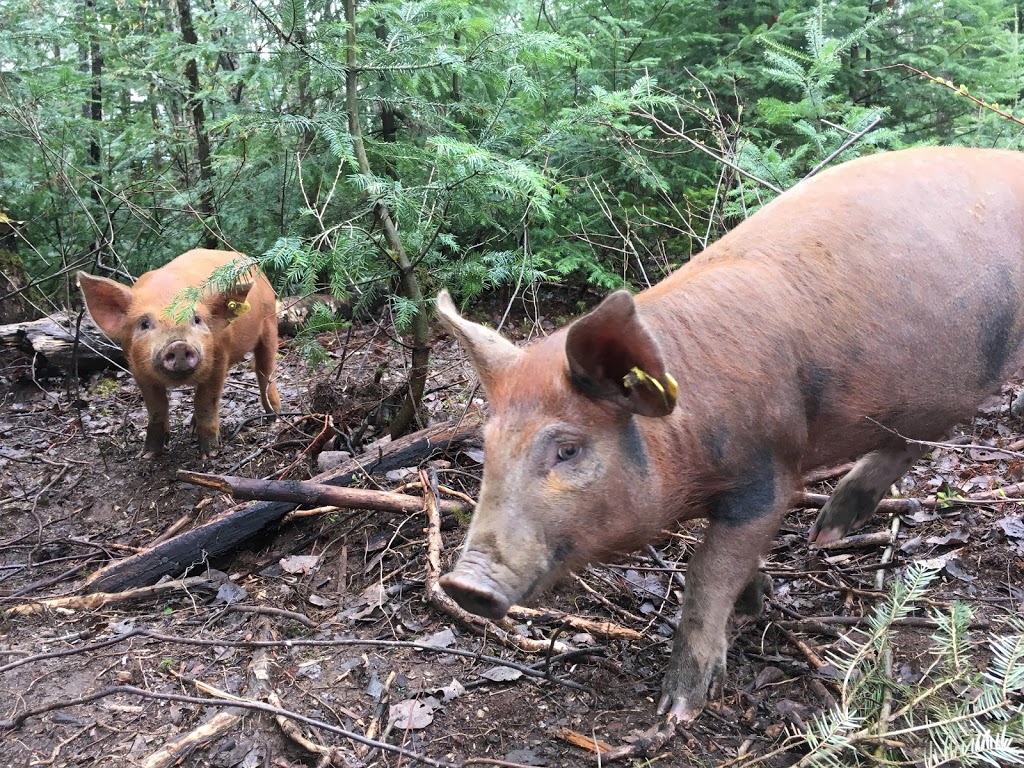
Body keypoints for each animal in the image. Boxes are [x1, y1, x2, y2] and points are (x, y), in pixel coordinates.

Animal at [77, 249, 282, 460]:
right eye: (144, 324)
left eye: (197, 319)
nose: (178, 345)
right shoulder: (137, 368)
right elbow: (156, 408)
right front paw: (148, 454)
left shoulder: (219, 358)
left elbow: (206, 402)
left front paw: (210, 454)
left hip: (270, 323)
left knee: (265, 370)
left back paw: (274, 417)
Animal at [436, 145, 1024, 729]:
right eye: (489, 445)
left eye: (568, 449)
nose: (462, 585)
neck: (689, 435)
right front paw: (753, 602)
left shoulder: (768, 474)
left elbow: (706, 572)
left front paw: (677, 711)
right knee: (919, 440)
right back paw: (826, 534)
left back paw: (824, 536)